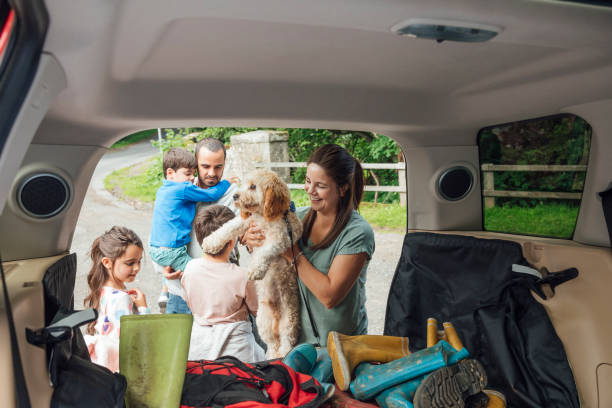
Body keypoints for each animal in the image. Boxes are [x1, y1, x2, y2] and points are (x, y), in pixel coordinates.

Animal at [201, 168, 302, 356]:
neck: (263, 216)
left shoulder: (281, 238)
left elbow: (265, 251)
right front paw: (212, 242)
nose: (235, 196)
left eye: (253, 187)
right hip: (263, 323)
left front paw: (256, 269)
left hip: (289, 324)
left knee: (285, 345)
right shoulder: (245, 221)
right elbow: (227, 228)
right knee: (272, 344)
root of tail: (276, 316)